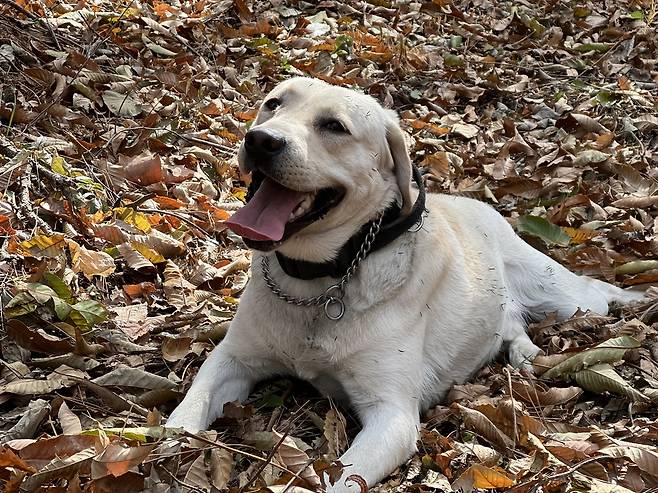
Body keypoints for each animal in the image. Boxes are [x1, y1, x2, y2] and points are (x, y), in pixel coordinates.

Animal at [165, 77, 644, 488]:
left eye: (334, 126)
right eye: (273, 104)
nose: (261, 140)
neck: (324, 278)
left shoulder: (391, 416)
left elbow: (341, 479)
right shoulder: (232, 358)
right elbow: (187, 410)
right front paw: (168, 444)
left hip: (561, 295)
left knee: (592, 293)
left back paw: (634, 297)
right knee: (510, 323)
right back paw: (523, 350)